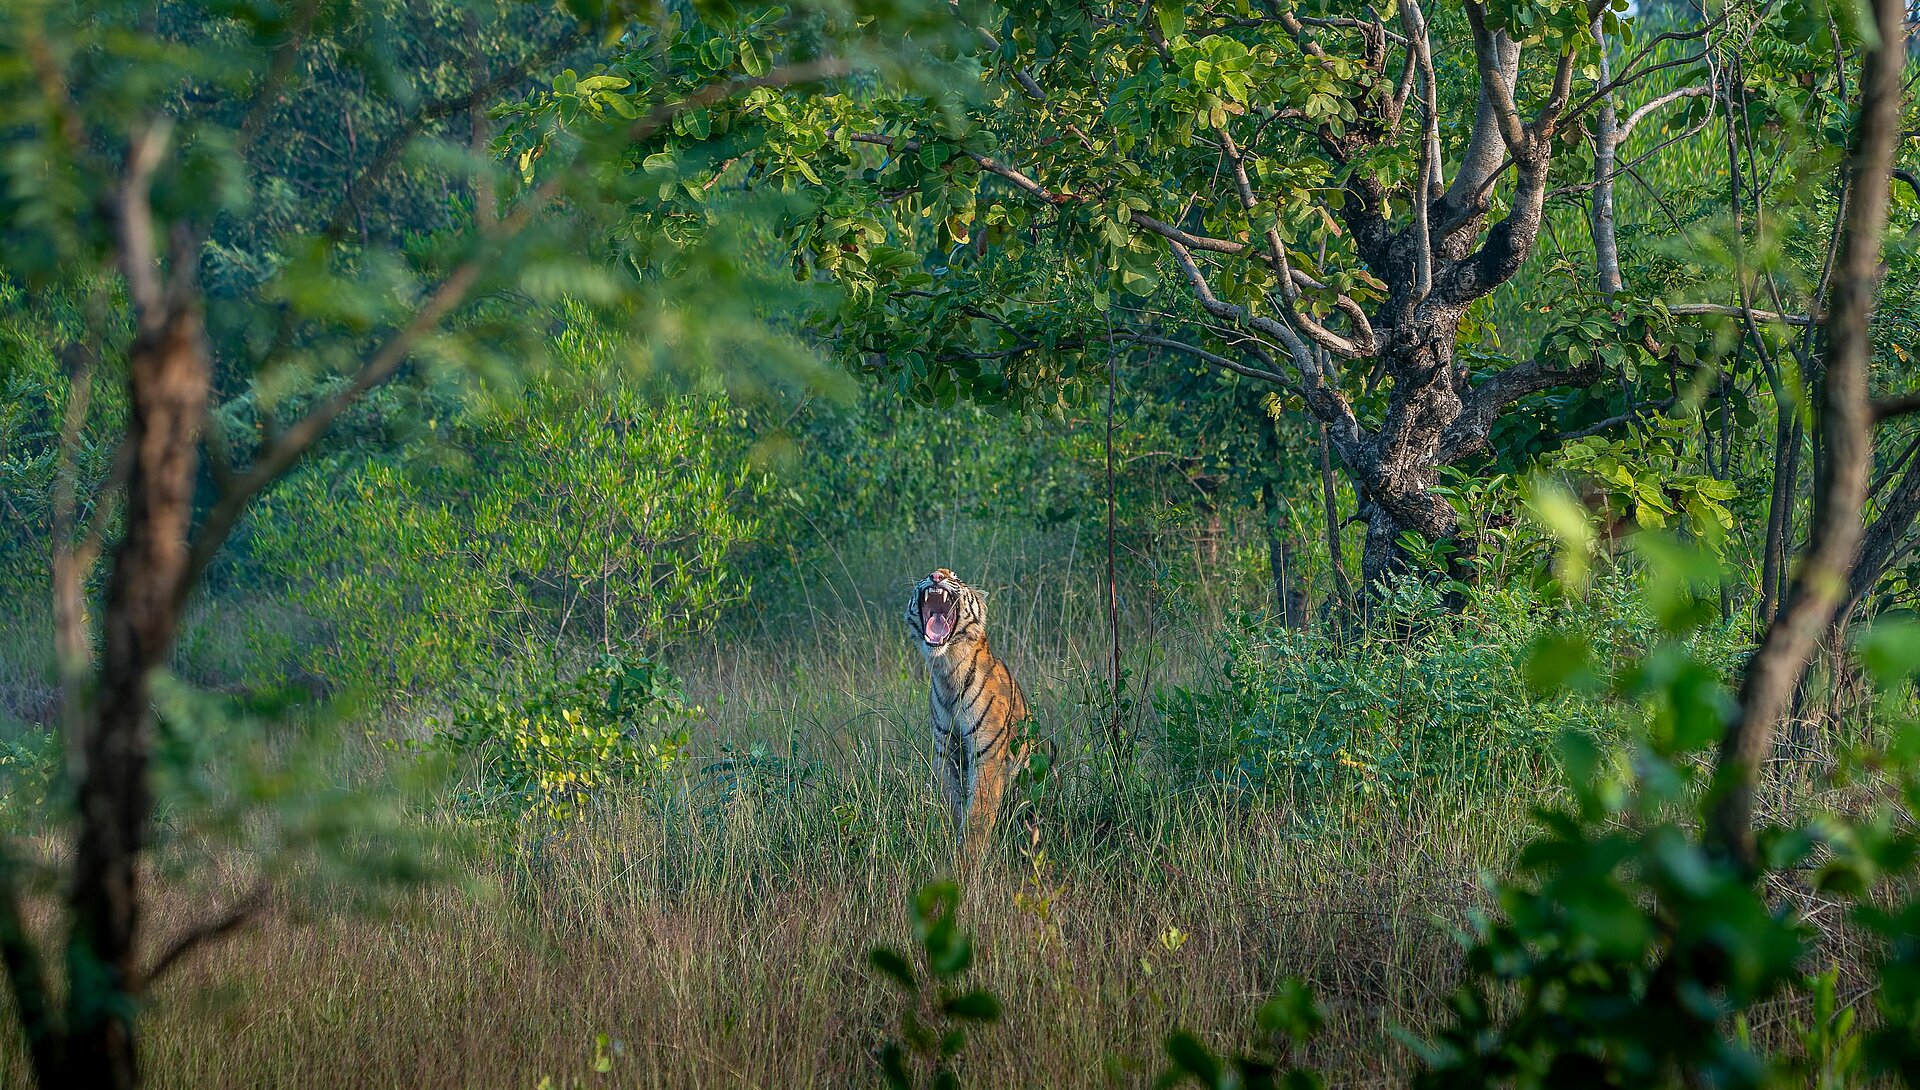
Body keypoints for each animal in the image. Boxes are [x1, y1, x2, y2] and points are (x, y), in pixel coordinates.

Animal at [904, 568, 1029, 864]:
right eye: (929, 573)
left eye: (955, 577)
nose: (936, 576)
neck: (946, 668)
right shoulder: (946, 752)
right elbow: (952, 805)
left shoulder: (987, 755)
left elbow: (978, 814)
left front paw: (967, 860)